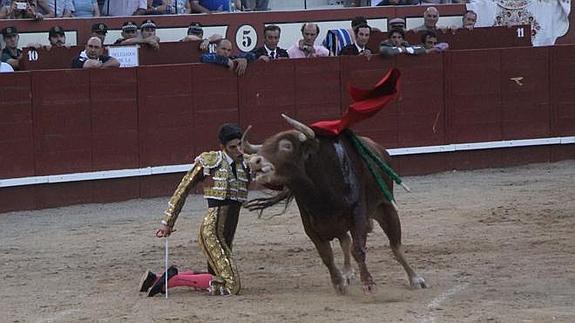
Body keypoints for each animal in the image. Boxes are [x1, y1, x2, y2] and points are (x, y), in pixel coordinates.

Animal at [243, 115, 428, 294]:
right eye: (264, 146)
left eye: (286, 146)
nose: (254, 161)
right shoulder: (311, 226)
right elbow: (326, 254)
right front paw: (339, 282)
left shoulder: (358, 214)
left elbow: (358, 249)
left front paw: (368, 283)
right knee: (345, 241)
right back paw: (347, 273)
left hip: (385, 208)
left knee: (395, 246)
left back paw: (415, 279)